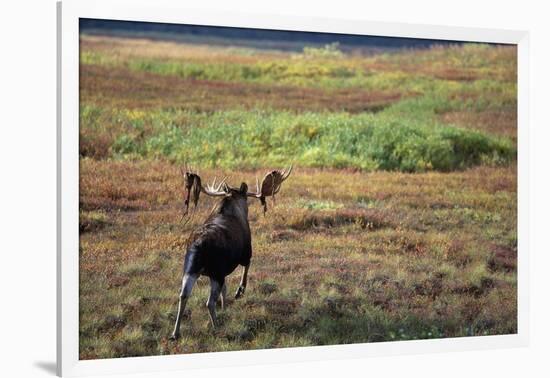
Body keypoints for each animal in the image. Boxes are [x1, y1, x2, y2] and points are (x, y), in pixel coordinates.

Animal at [171, 165, 294, 340]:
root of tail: (198, 244)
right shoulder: (246, 253)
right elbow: (245, 270)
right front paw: (239, 291)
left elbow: (225, 289)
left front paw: (225, 307)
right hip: (215, 271)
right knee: (209, 302)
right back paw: (216, 327)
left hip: (190, 268)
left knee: (183, 294)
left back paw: (176, 332)